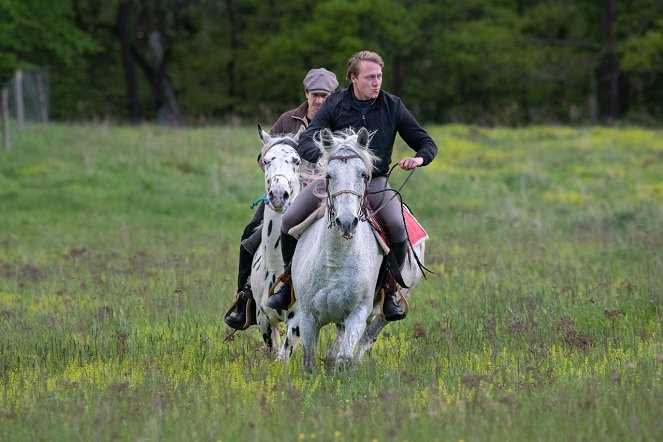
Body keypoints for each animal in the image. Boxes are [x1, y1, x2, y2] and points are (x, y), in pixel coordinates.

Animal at [278, 128, 426, 372]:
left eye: (363, 175)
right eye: (329, 175)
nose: (347, 222)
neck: (334, 261)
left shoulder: (357, 313)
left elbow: (345, 357)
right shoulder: (308, 317)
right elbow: (309, 361)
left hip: (384, 310)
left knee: (367, 339)